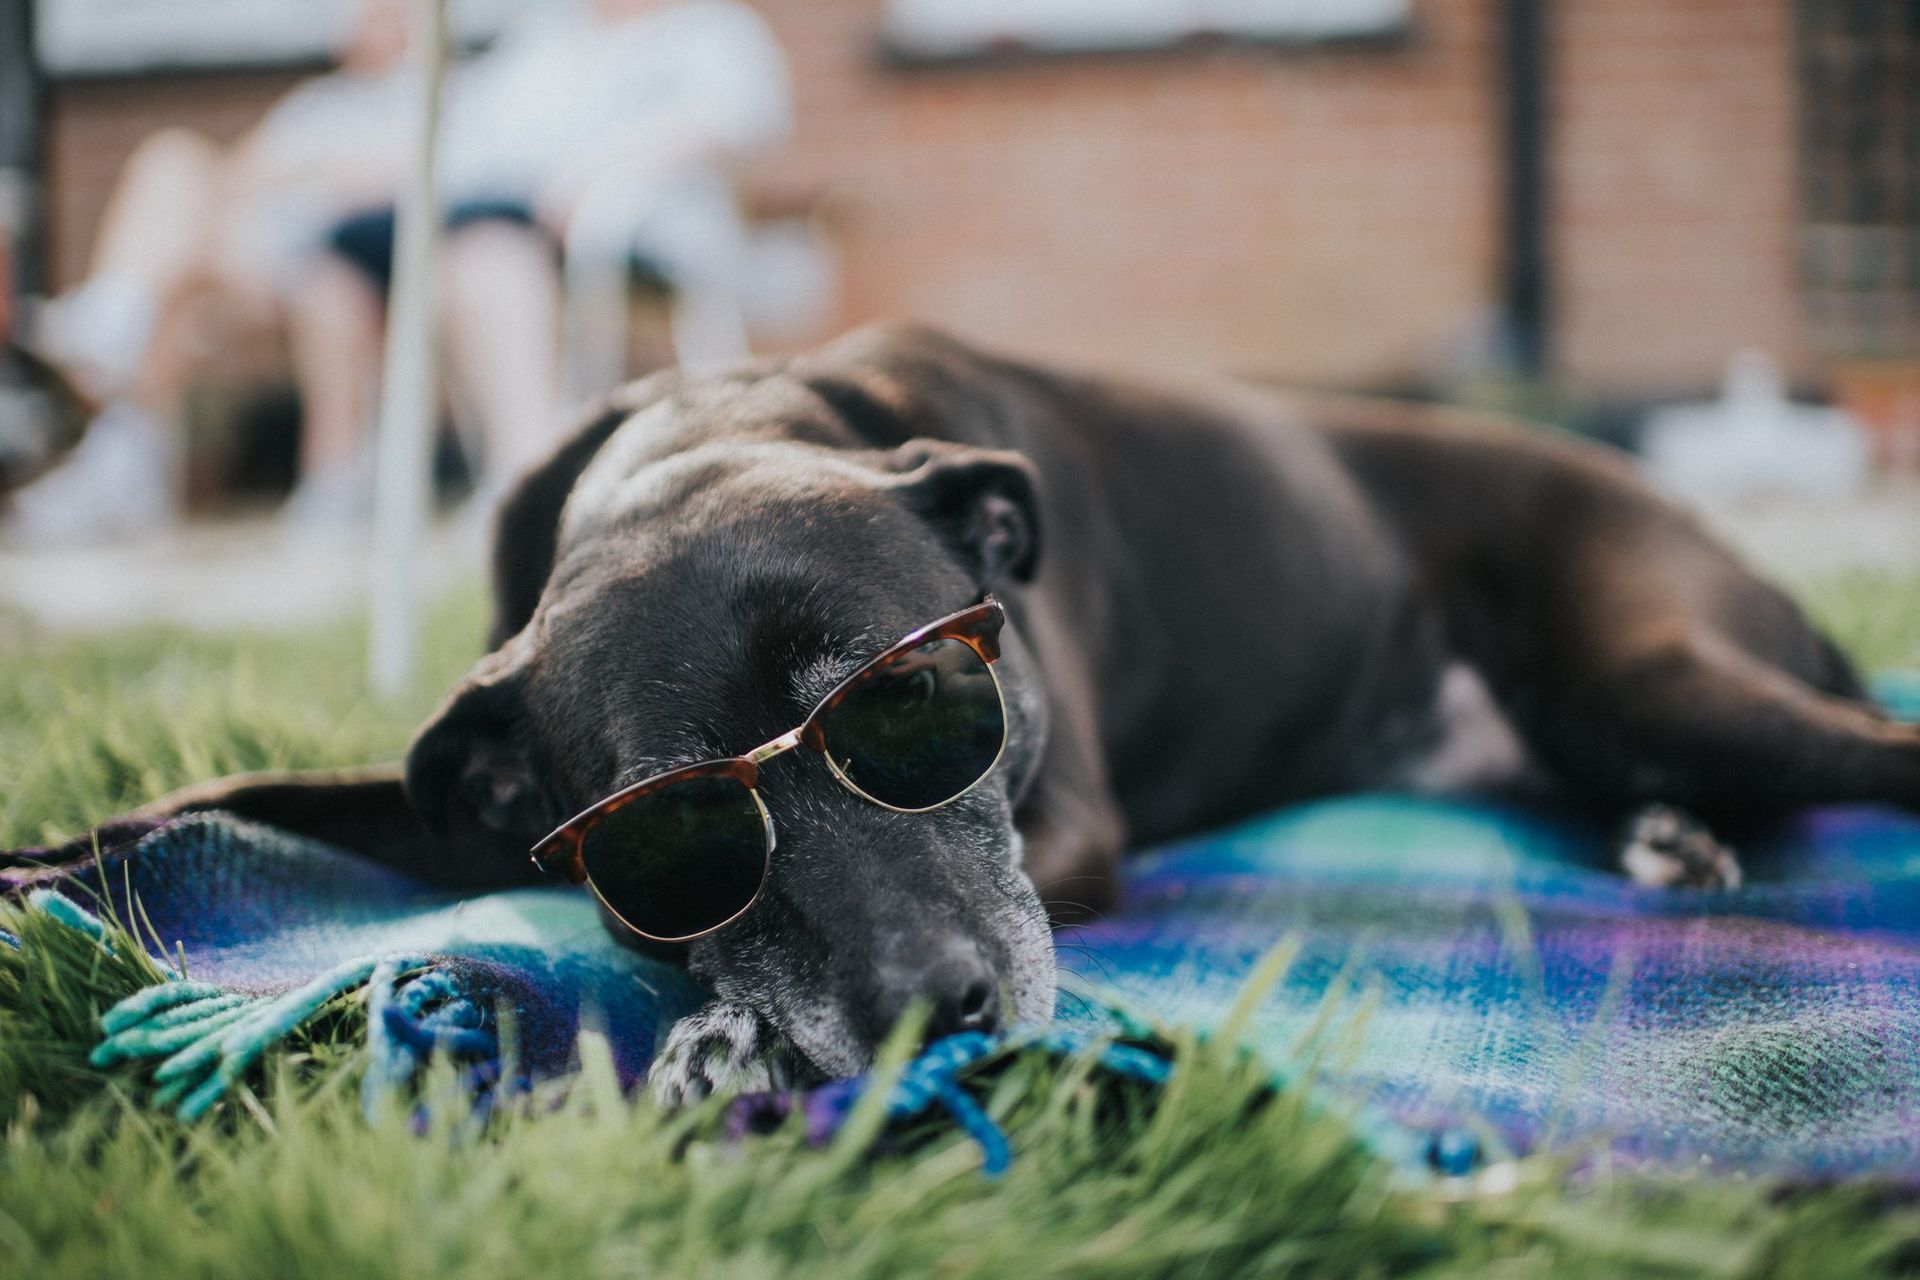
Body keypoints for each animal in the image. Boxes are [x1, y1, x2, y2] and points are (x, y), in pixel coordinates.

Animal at [116, 322, 1920, 1105]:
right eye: (673, 832)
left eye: (913, 703)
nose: (940, 1010)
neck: (704, 436)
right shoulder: (469, 786)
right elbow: (264, 796)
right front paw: (92, 851)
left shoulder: (1072, 827)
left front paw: (727, 1040)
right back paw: (1670, 837)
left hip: (1650, 670)